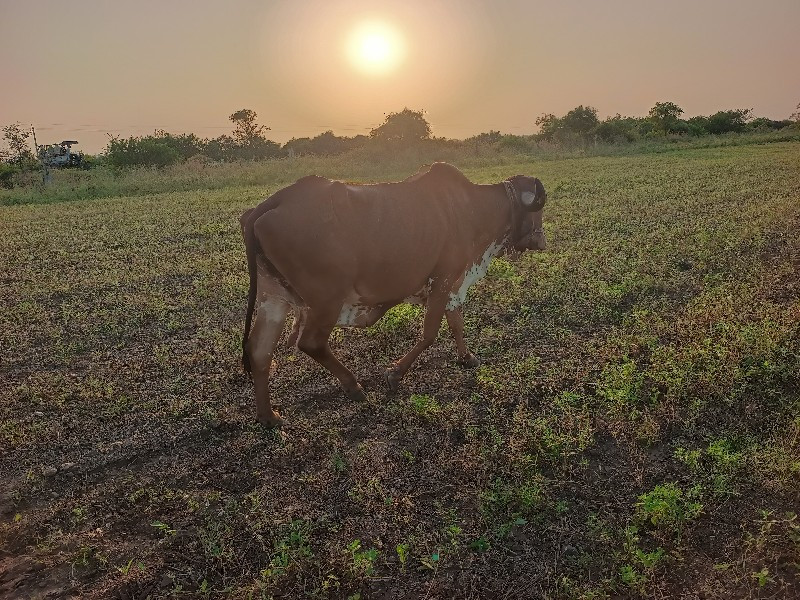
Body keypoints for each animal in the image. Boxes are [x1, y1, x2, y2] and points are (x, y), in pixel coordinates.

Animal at [241, 163, 548, 426]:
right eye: (539, 210)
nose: (542, 241)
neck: (471, 208)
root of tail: (274, 201)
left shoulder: (453, 283)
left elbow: (456, 323)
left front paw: (467, 357)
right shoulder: (443, 279)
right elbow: (430, 333)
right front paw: (395, 373)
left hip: (275, 299)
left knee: (259, 351)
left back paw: (269, 416)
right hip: (326, 301)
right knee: (311, 343)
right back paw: (353, 386)